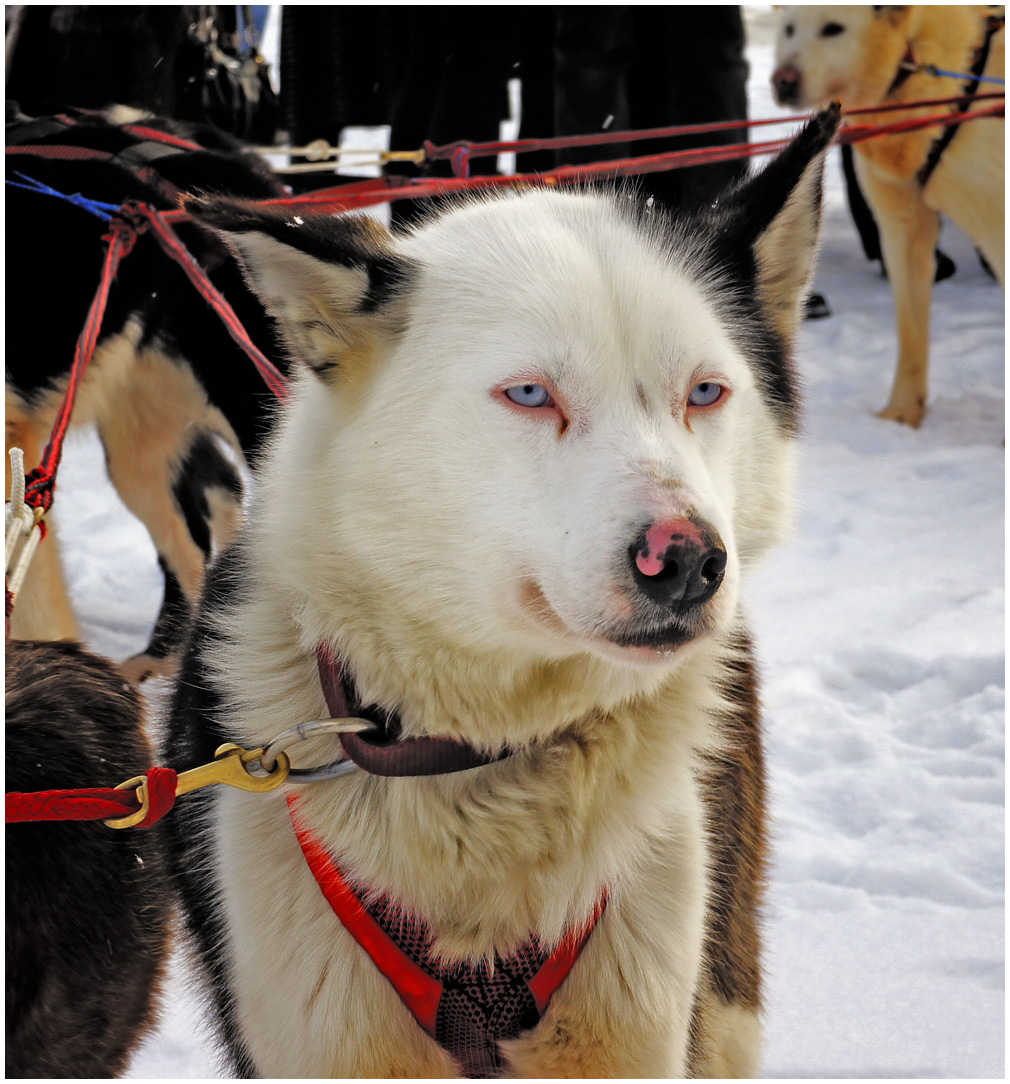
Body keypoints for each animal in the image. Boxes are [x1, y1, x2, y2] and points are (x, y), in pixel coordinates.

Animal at [771, 6, 1001, 424]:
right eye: (790, 30)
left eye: (833, 29)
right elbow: (910, 331)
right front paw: (901, 413)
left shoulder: (995, 226)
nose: (783, 80)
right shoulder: (902, 227)